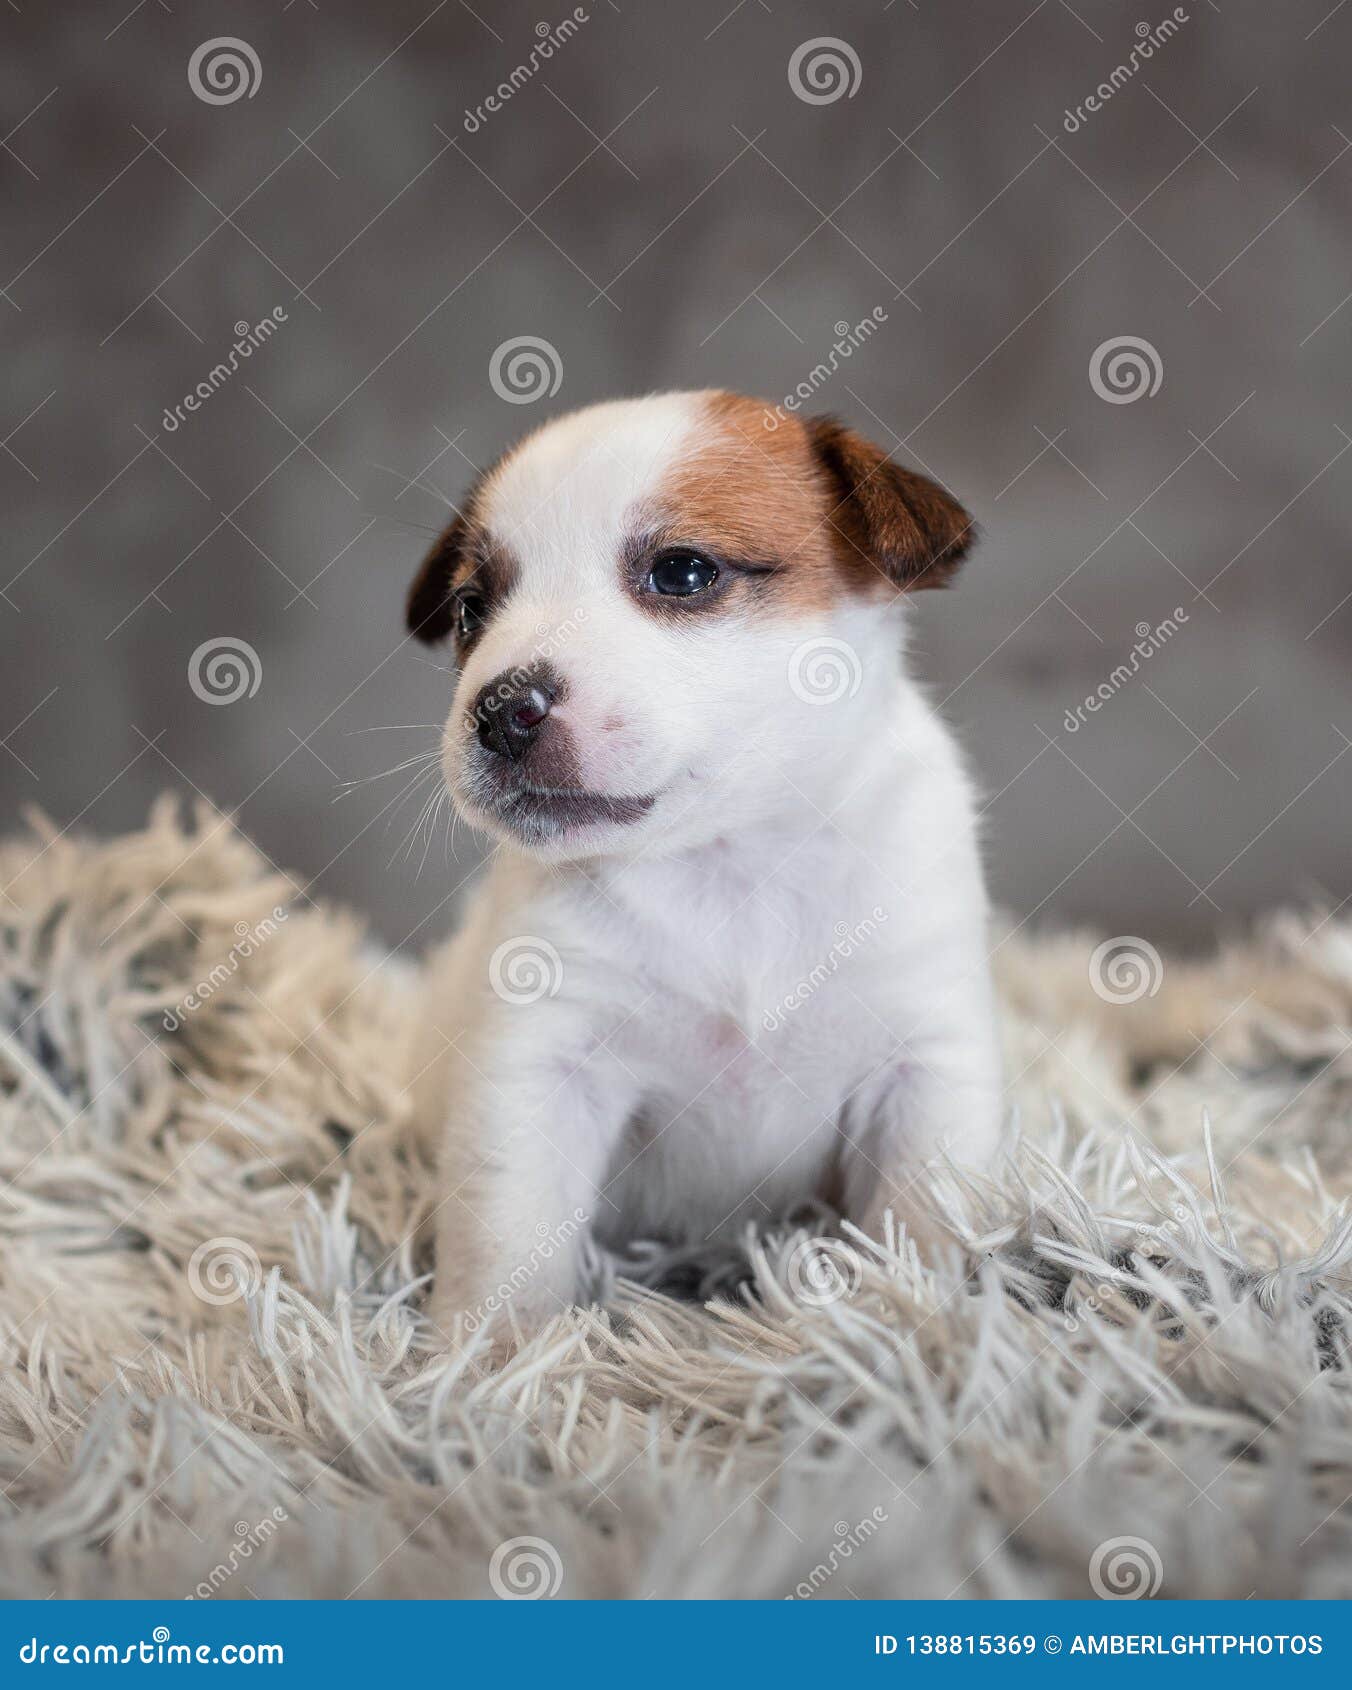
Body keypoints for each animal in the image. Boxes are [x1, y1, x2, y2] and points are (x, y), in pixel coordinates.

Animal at [402, 388, 1000, 1338]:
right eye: (469, 611)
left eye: (682, 574)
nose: (498, 708)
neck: (730, 861)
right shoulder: (539, 1071)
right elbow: (508, 1247)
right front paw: (493, 1360)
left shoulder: (923, 1070)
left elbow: (919, 1223)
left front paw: (910, 1328)